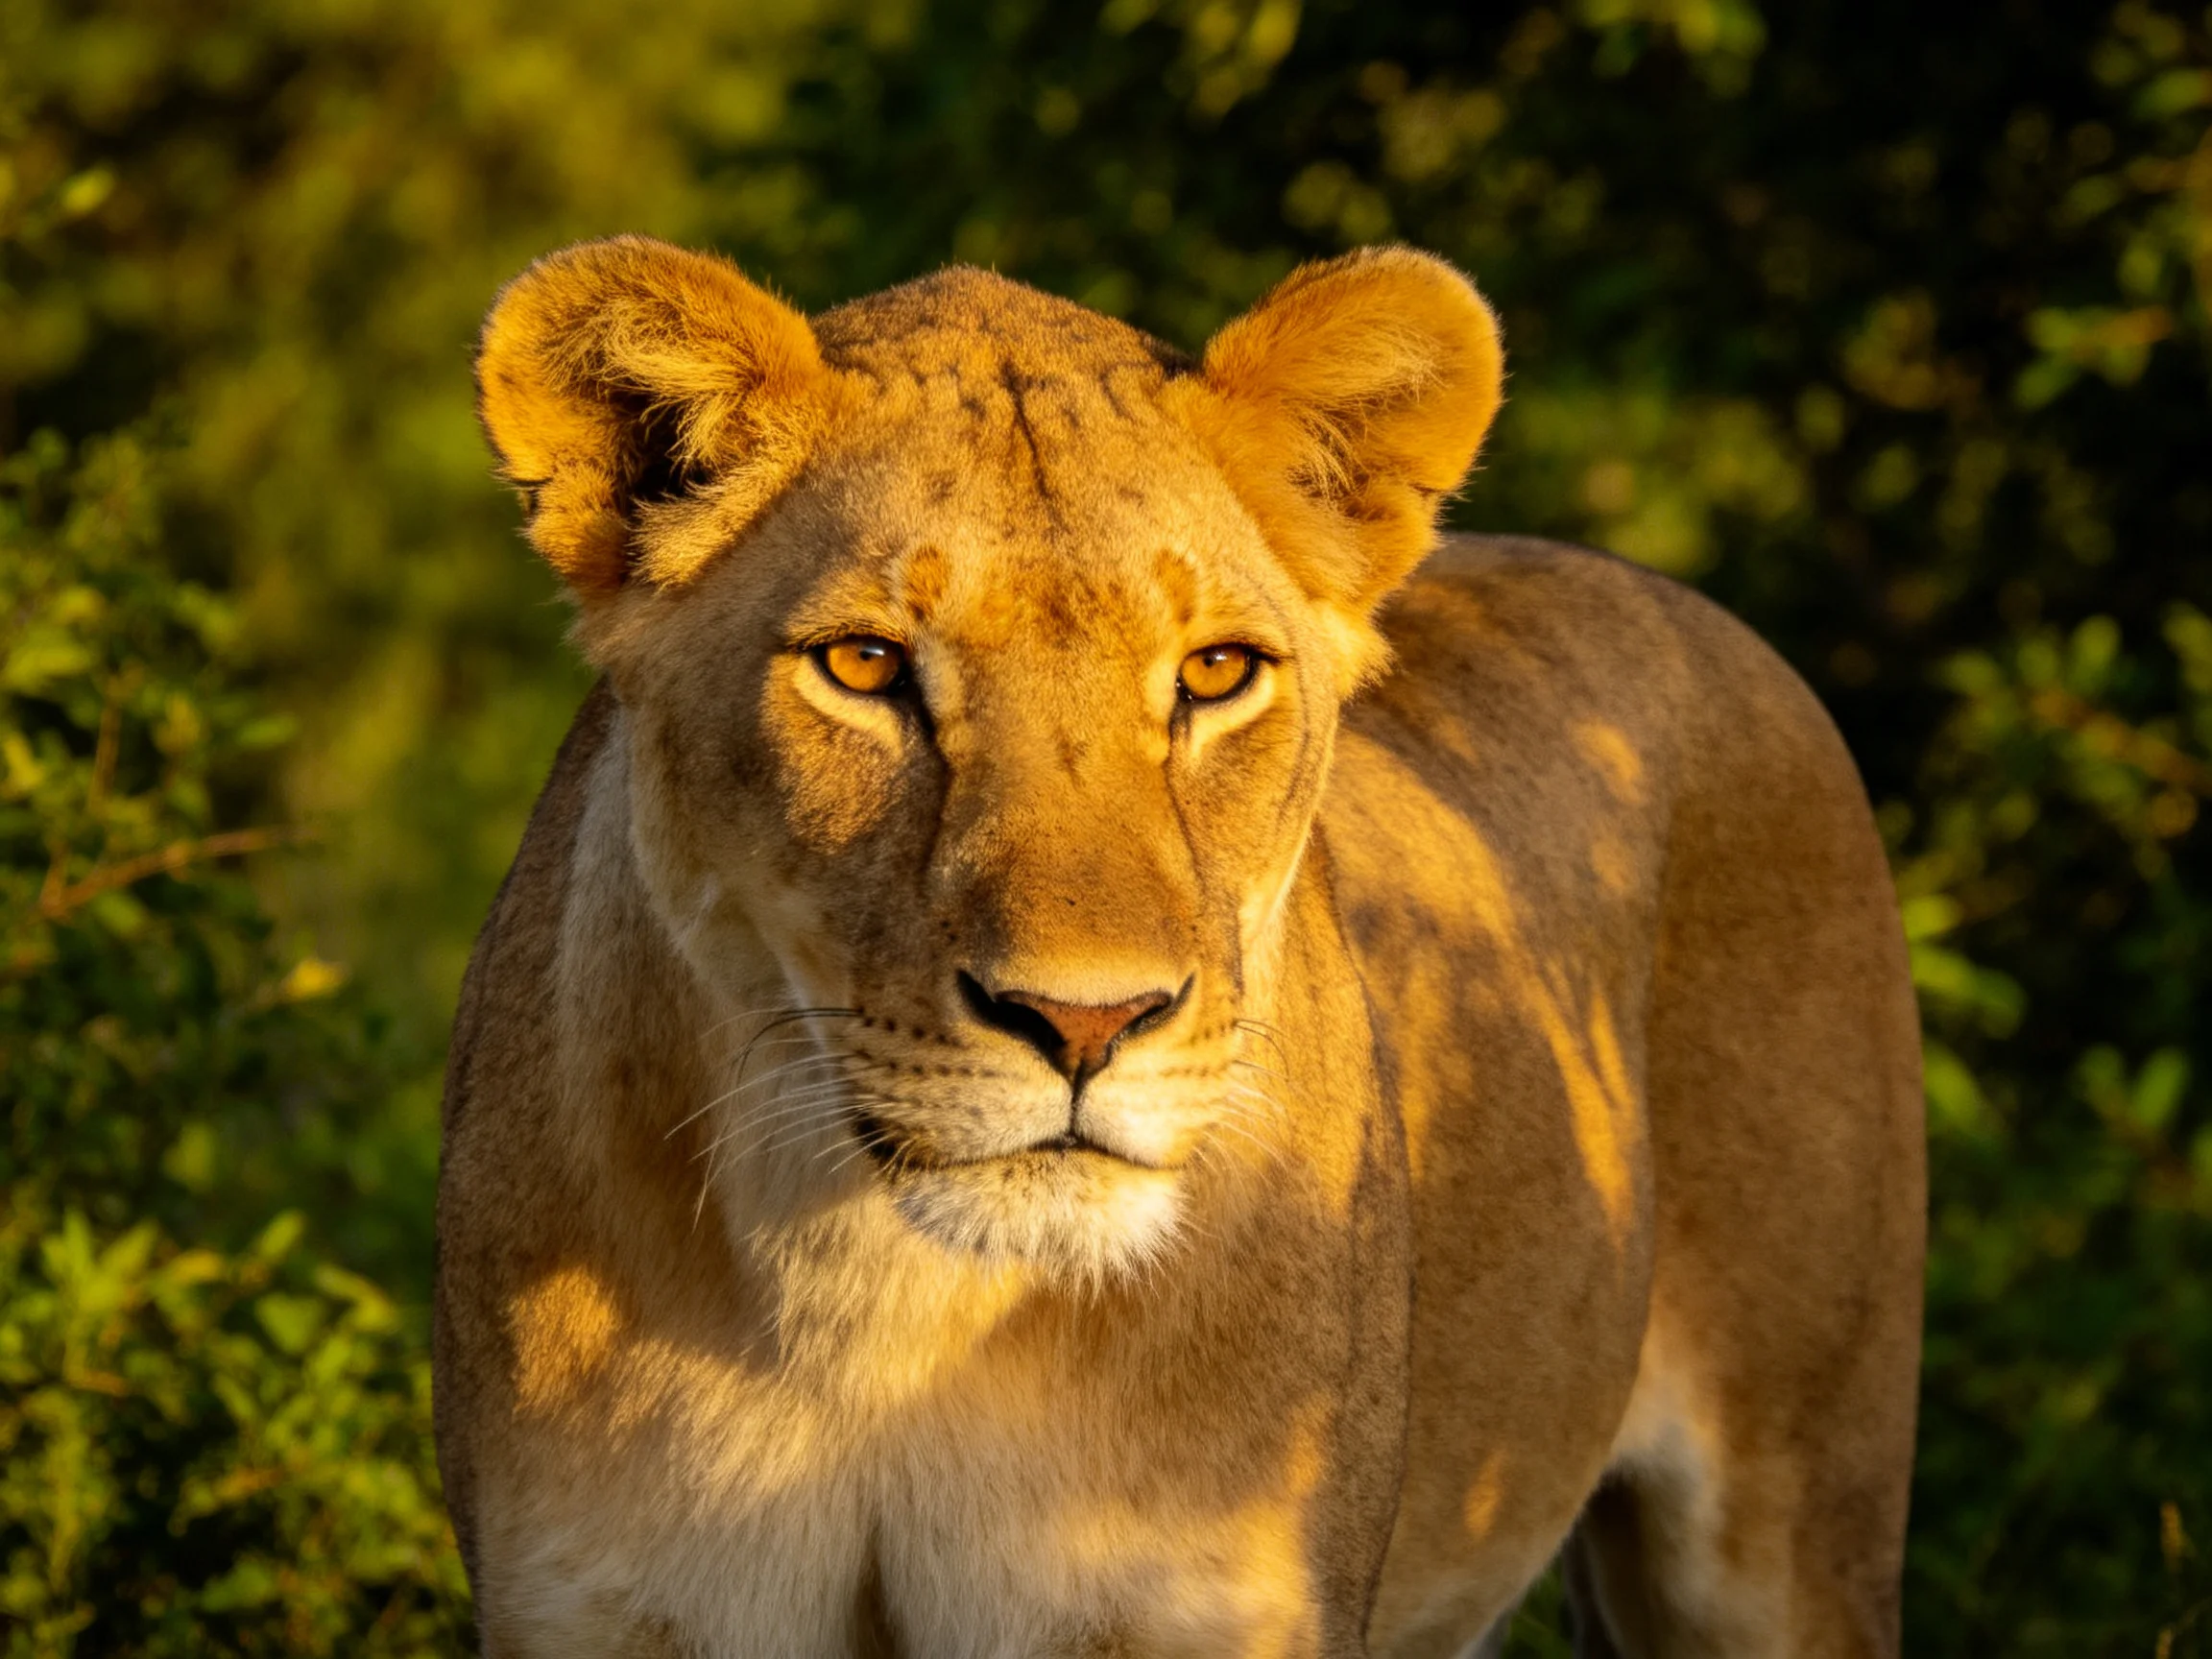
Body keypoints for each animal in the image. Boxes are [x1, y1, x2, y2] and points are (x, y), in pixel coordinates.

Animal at [435, 235, 1925, 1658]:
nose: (1086, 1024)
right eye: (862, 666)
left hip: (1792, 1527)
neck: (888, 1322)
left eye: (1214, 674)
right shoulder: (596, 1608)